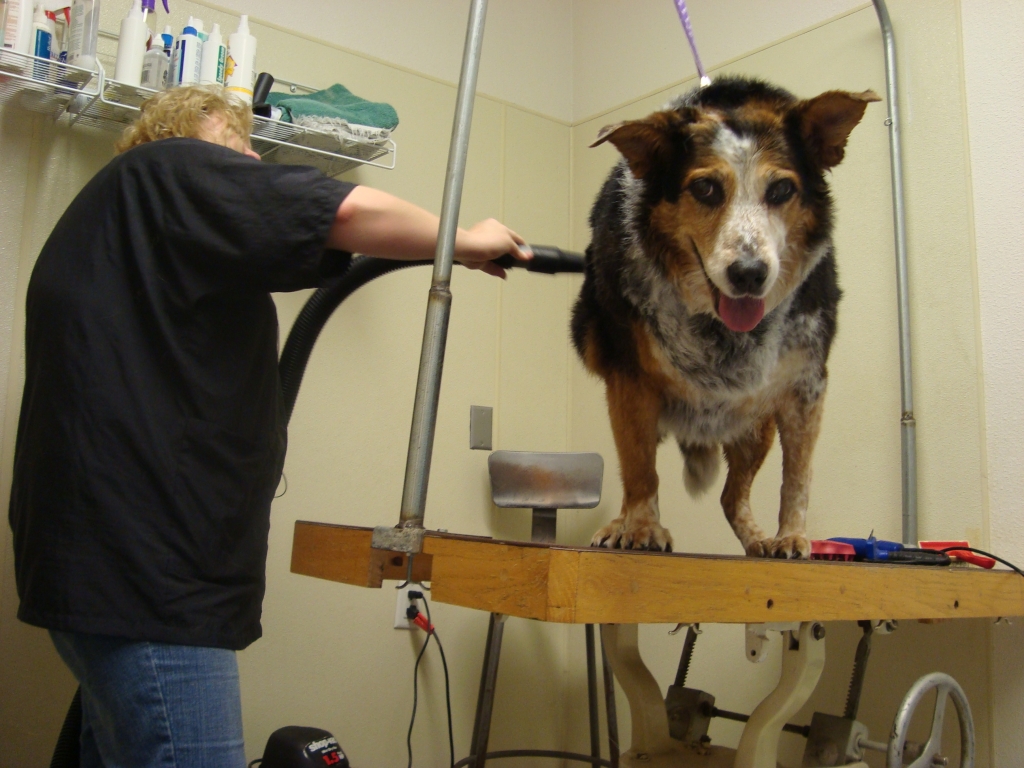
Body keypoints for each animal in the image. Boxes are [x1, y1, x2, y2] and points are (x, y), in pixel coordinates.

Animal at [573, 76, 876, 561]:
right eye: (706, 189)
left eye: (781, 190)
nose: (749, 274)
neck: (717, 327)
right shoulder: (629, 378)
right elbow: (640, 470)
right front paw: (641, 528)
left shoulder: (806, 383)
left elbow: (798, 476)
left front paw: (791, 535)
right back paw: (619, 524)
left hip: (752, 426)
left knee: (732, 496)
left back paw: (758, 539)